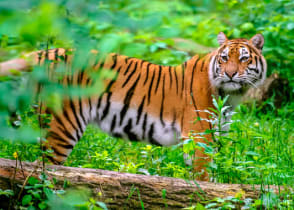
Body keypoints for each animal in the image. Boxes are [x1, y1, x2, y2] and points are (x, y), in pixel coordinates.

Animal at [0, 32, 266, 180]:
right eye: (224, 58)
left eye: (244, 58)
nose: (230, 74)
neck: (231, 95)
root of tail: (47, 52)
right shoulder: (200, 137)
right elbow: (204, 177)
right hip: (62, 125)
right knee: (43, 171)